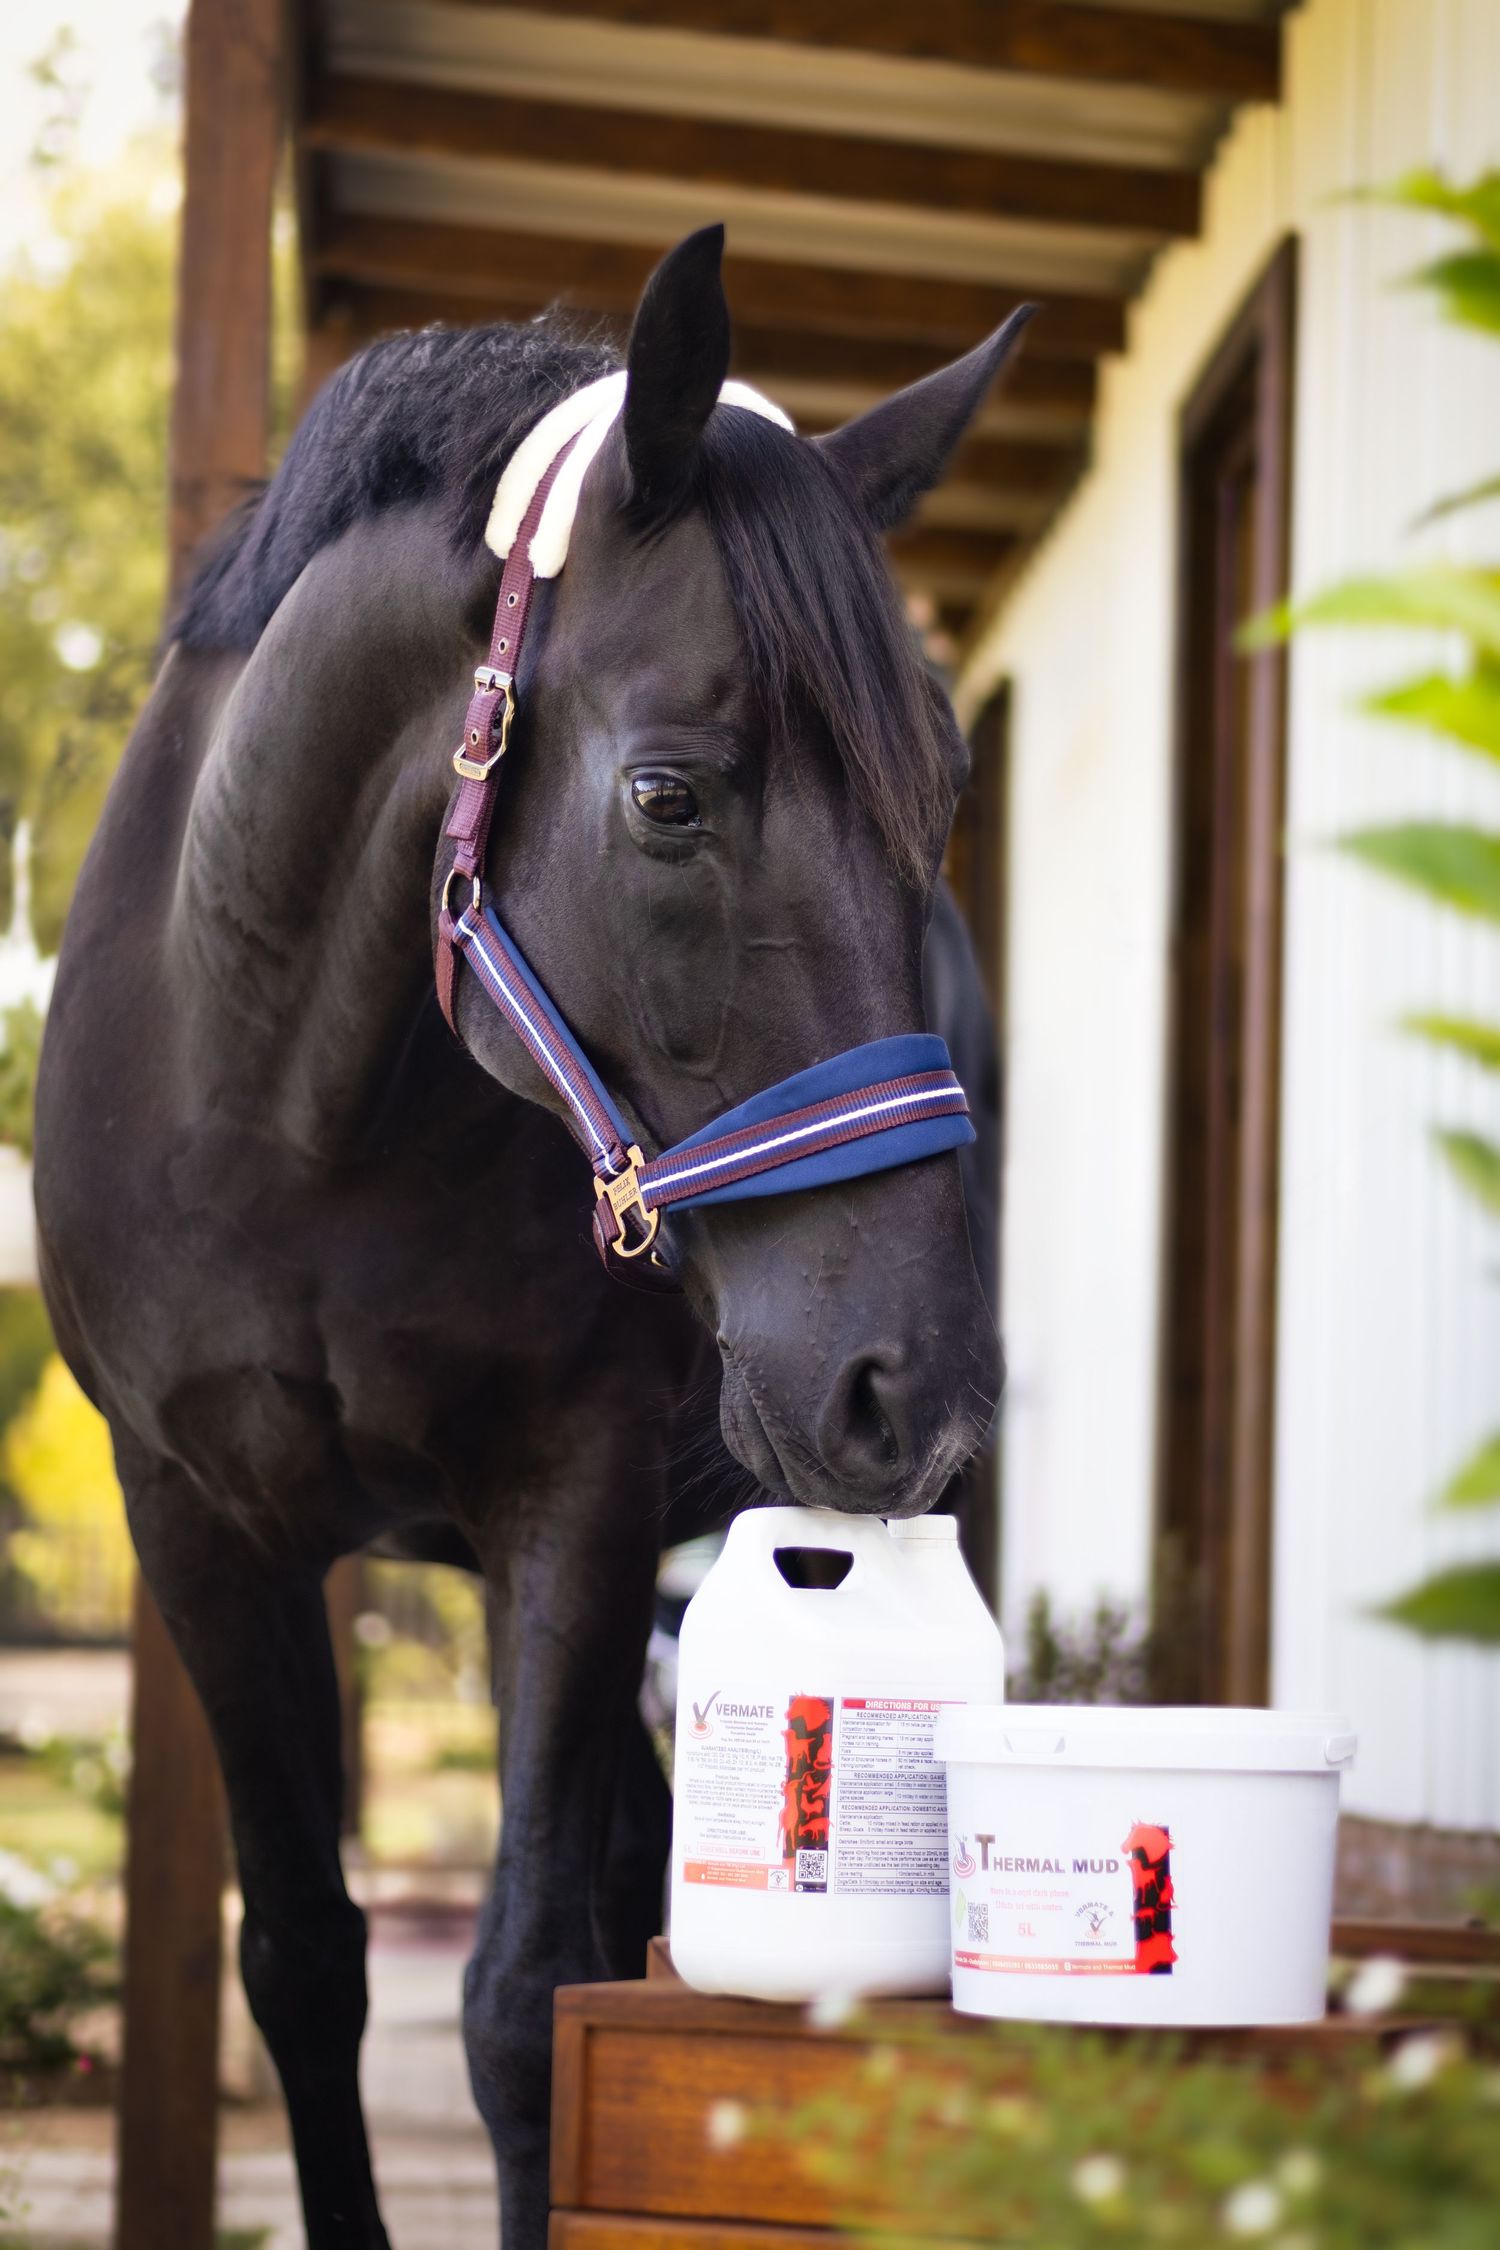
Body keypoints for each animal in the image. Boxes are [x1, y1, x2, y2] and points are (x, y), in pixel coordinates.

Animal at [34, 224, 1022, 2249]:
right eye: (668, 796)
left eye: (947, 800)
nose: (910, 1392)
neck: (292, 1108)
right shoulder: (199, 1525)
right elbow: (305, 1960)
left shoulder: (570, 1498)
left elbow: (521, 1999)